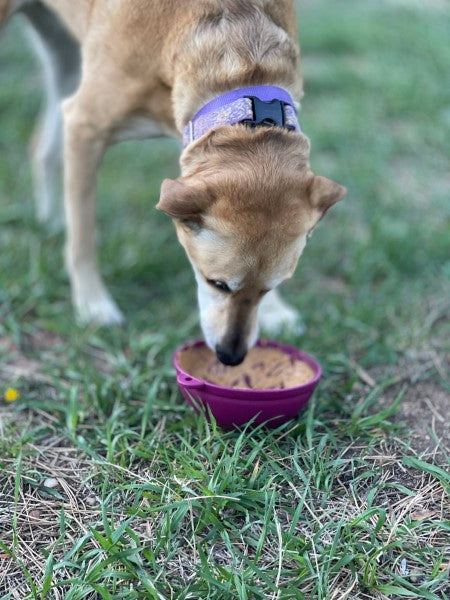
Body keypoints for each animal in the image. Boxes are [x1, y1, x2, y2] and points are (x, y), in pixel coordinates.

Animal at [0, 0, 344, 366]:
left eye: (270, 288)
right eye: (217, 283)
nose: (231, 357)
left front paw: (275, 311)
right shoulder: (85, 126)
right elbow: (82, 237)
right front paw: (93, 304)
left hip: (62, 53)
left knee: (42, 148)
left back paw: (51, 220)